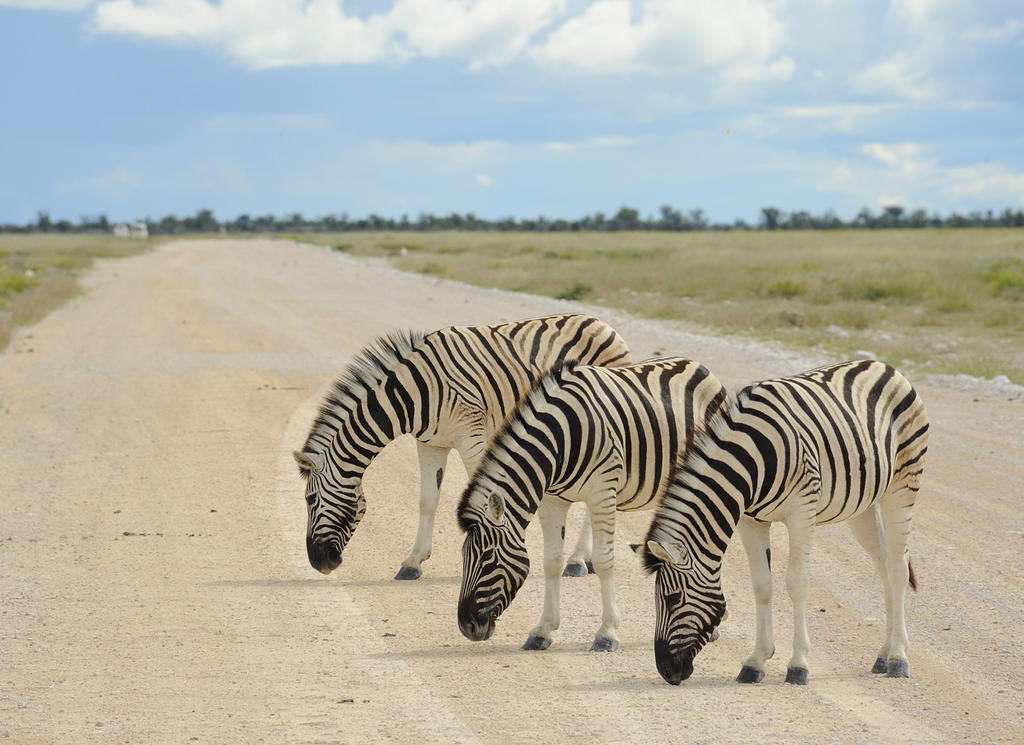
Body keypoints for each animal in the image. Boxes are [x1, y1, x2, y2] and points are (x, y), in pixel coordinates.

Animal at [292, 315, 634, 581]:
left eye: (310, 500)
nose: (320, 564)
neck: (413, 393)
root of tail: (603, 324)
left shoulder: (472, 435)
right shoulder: (430, 444)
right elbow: (427, 500)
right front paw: (413, 562)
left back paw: (576, 561)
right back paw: (585, 559)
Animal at [456, 354, 729, 650]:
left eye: (488, 558)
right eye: (464, 556)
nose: (467, 627)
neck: (559, 440)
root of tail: (698, 365)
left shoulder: (601, 492)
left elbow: (603, 561)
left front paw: (607, 633)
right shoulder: (552, 500)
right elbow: (551, 561)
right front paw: (543, 630)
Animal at [643, 360, 933, 687]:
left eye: (672, 598)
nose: (666, 671)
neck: (751, 462)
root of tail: (883, 365)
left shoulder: (801, 511)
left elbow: (797, 583)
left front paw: (798, 665)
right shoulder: (750, 520)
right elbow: (762, 586)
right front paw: (756, 662)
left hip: (903, 483)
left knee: (897, 566)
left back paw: (898, 658)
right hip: (864, 506)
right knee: (883, 563)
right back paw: (883, 654)